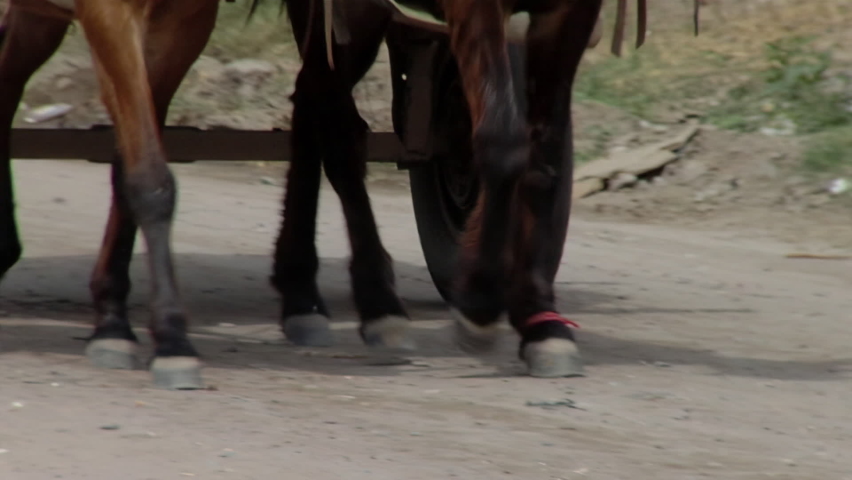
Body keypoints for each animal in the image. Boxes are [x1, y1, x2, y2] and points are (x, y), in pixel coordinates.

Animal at [0, 0, 220, 389]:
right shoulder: (110, 13)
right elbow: (150, 180)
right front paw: (173, 342)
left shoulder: (187, 21)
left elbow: (129, 169)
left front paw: (115, 325)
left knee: (9, 77)